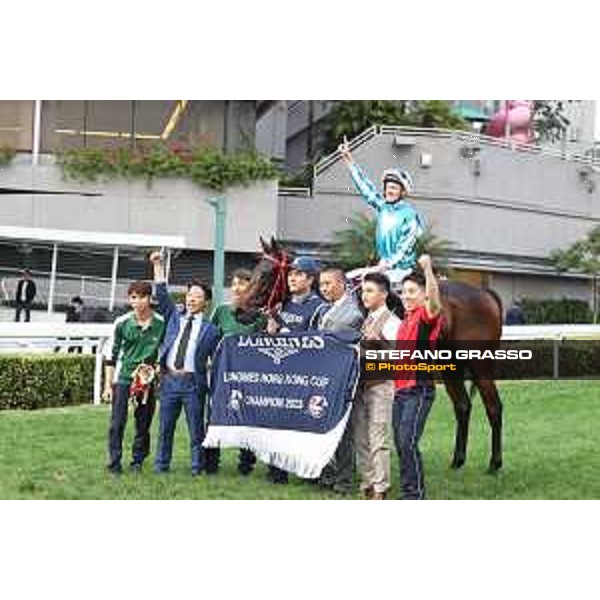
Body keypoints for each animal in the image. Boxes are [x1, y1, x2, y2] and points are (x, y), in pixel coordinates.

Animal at [241, 234, 504, 474]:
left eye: (266, 273)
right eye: (255, 270)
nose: (240, 310)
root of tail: (485, 294)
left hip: (480, 364)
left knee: (494, 407)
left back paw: (494, 463)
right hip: (450, 366)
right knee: (463, 406)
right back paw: (458, 461)